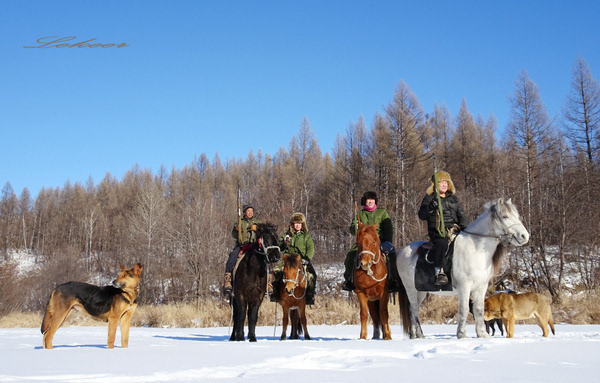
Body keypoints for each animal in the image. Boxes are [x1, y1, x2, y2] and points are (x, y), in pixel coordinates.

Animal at [398, 198, 528, 340]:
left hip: (420, 291)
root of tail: (402, 251)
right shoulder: (464, 286)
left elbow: (479, 310)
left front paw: (482, 334)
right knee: (414, 310)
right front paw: (462, 334)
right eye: (505, 216)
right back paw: (416, 335)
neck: (475, 249)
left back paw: (417, 335)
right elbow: (464, 309)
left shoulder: (481, 287)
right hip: (410, 288)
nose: (524, 236)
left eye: (517, 216)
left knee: (413, 310)